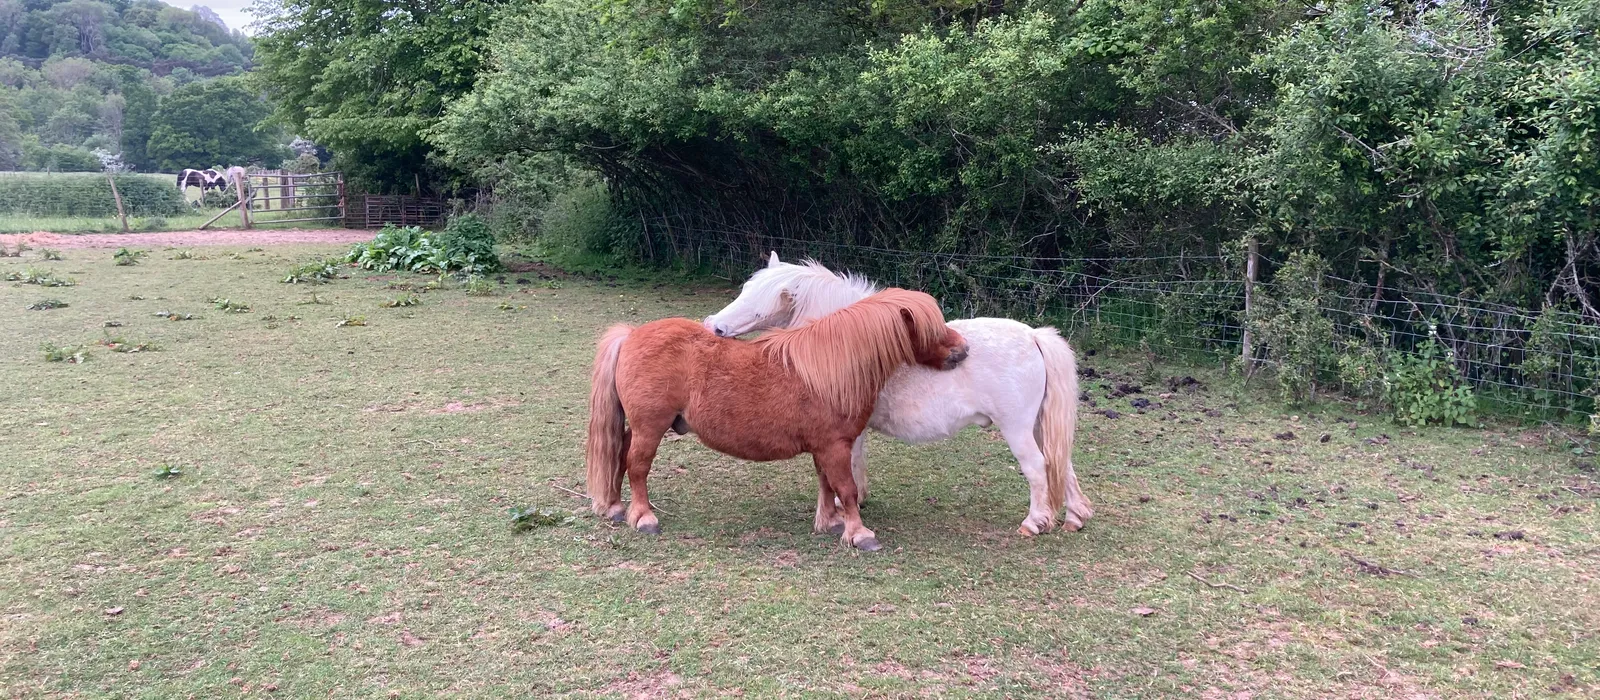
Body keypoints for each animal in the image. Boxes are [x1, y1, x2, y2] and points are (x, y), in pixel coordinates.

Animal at [586, 288, 970, 550]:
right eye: (932, 328)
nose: (963, 349)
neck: (831, 370)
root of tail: (631, 335)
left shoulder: (825, 447)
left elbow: (827, 485)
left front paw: (830, 523)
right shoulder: (835, 446)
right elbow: (845, 489)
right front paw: (859, 533)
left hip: (639, 428)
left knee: (620, 455)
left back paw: (616, 507)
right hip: (651, 428)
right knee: (637, 466)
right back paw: (643, 517)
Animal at [703, 253, 1093, 535]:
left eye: (759, 301)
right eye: (744, 290)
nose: (713, 326)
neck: (844, 345)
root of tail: (1034, 335)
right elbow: (855, 463)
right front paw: (856, 501)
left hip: (1017, 430)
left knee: (1038, 468)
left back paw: (1034, 523)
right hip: (1039, 426)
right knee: (1062, 465)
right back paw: (1075, 517)